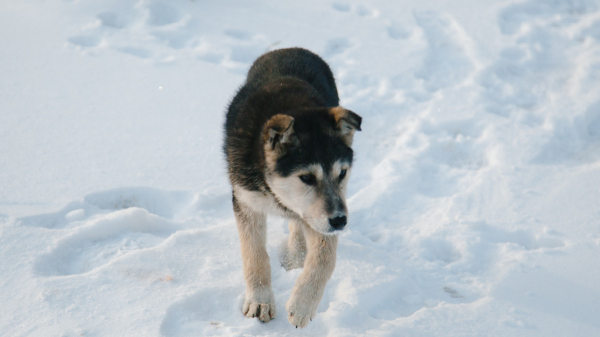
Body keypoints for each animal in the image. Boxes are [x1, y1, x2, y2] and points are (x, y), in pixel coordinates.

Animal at [223, 46, 358, 326]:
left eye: (342, 173)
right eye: (306, 177)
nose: (340, 221)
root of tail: (289, 49)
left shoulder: (321, 214)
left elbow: (324, 260)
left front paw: (303, 304)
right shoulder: (245, 199)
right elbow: (255, 255)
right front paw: (260, 301)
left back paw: (296, 256)